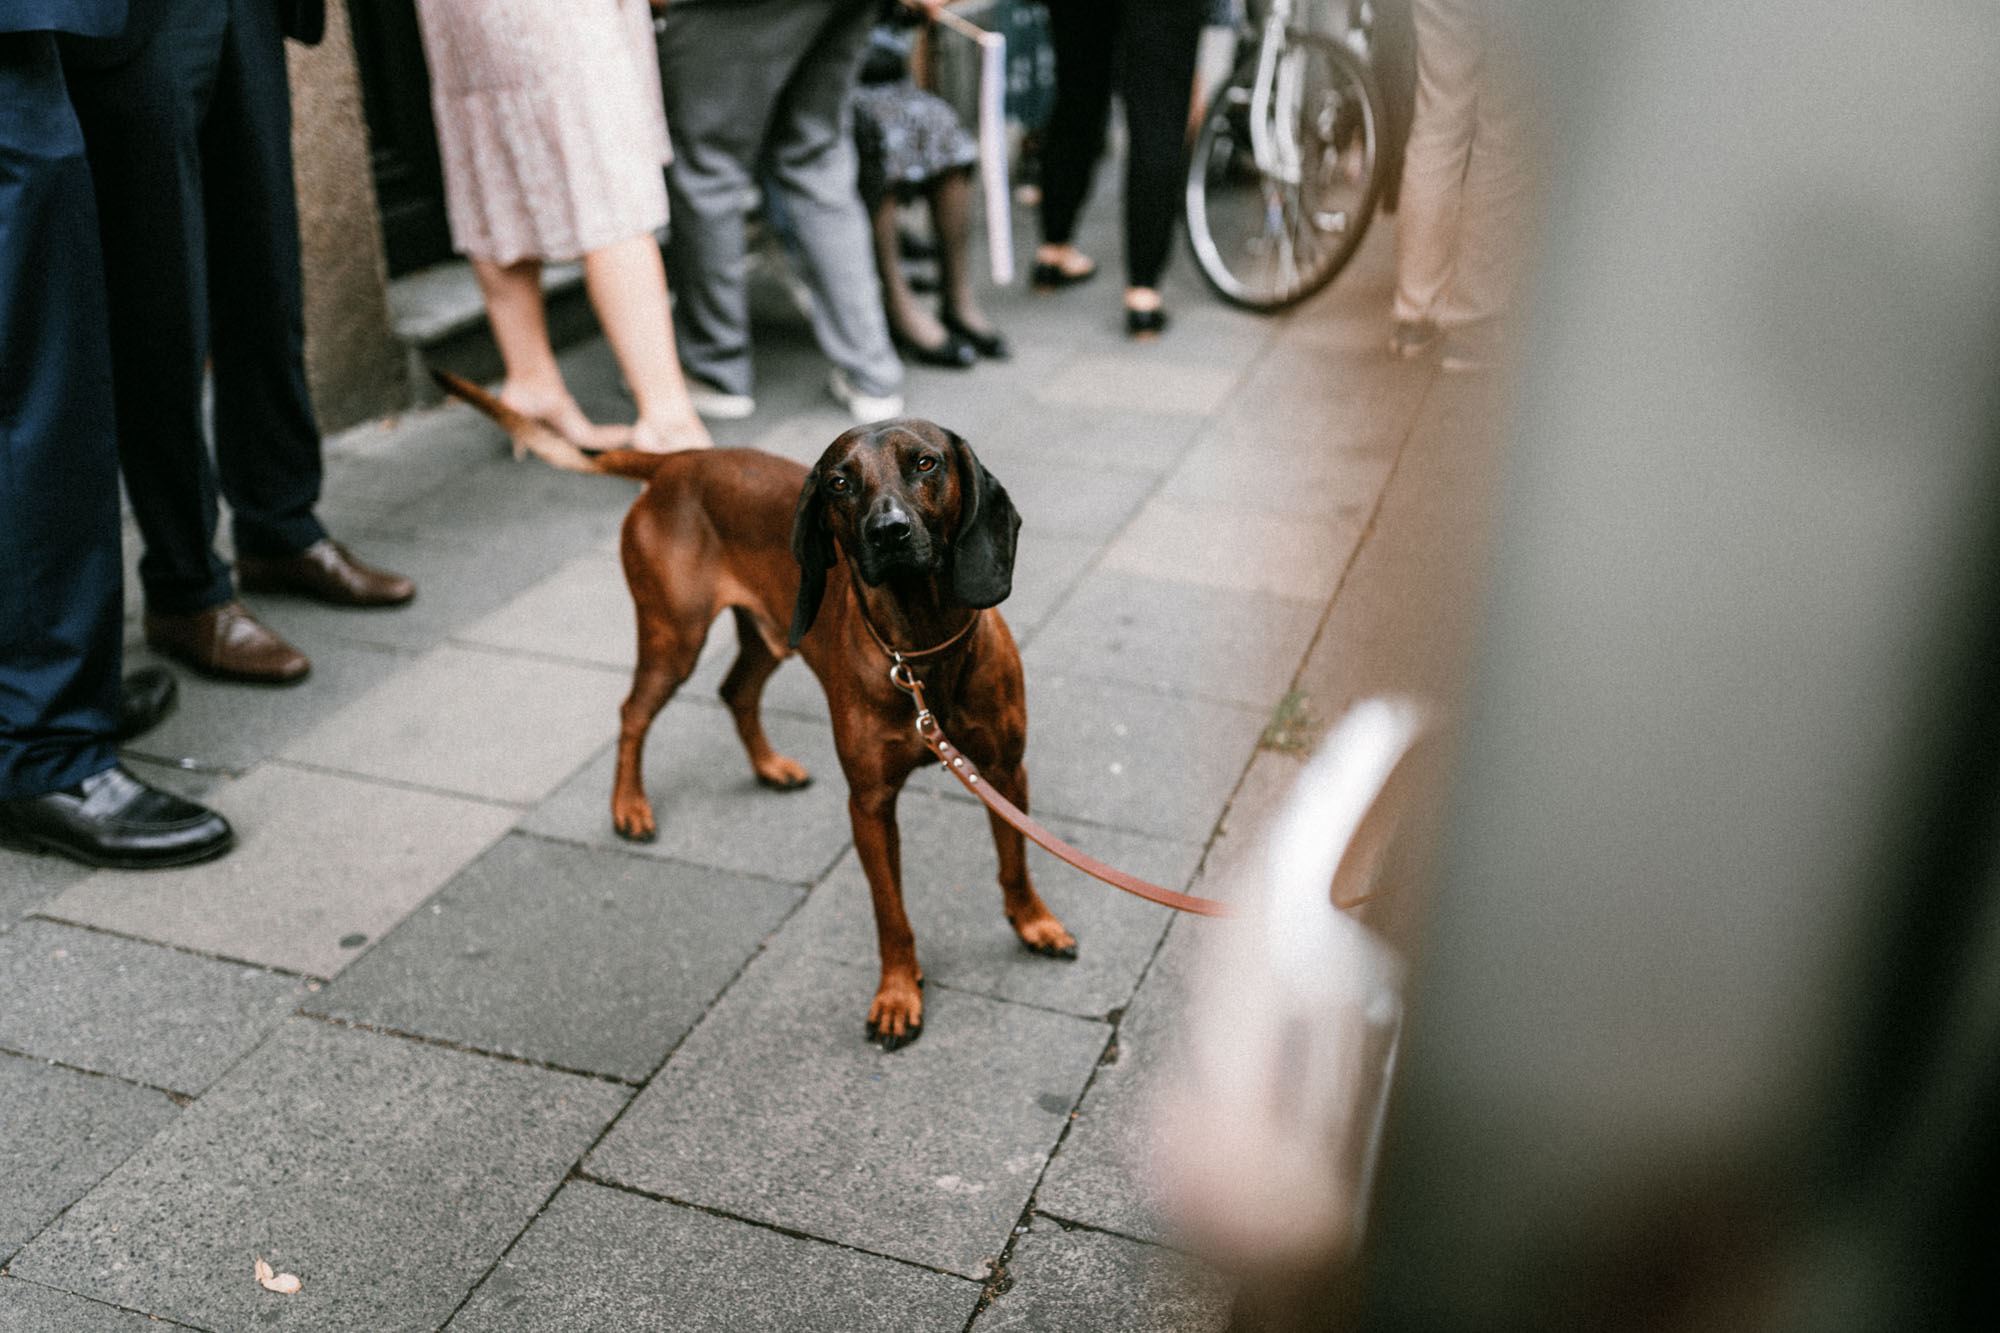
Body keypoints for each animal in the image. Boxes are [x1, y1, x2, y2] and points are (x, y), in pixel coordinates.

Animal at [430, 368, 1072, 1040]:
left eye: (925, 462)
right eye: (840, 481)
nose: (887, 532)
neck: (921, 652)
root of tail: (680, 462)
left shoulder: (1003, 771)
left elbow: (1015, 861)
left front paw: (1033, 922)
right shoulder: (869, 805)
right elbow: (890, 912)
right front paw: (898, 993)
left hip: (774, 634)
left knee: (734, 690)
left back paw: (768, 767)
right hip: (674, 637)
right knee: (633, 713)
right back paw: (629, 806)